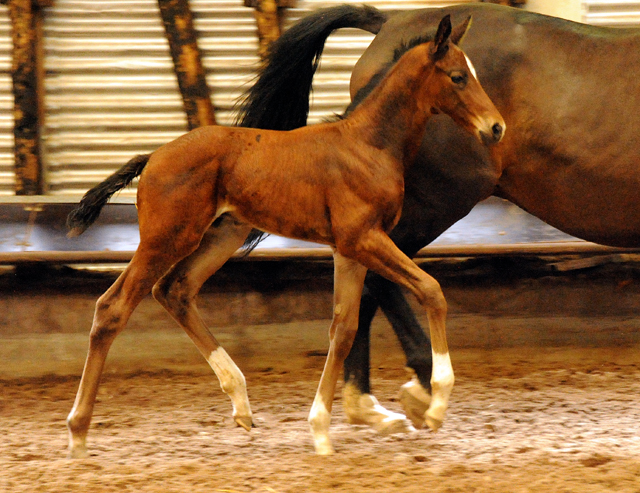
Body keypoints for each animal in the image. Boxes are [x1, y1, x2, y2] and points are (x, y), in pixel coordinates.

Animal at [66, 15, 504, 460]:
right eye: (458, 77)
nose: (496, 127)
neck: (369, 144)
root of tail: (153, 156)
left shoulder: (349, 249)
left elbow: (343, 328)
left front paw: (321, 430)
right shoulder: (363, 238)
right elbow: (431, 289)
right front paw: (436, 404)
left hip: (223, 236)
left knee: (175, 290)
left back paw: (240, 402)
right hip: (165, 239)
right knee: (112, 308)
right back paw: (78, 432)